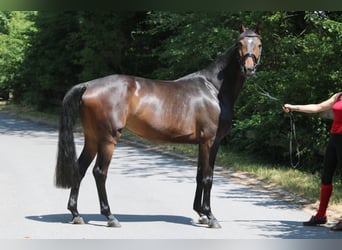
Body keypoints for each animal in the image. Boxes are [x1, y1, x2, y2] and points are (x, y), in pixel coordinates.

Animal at [54, 23, 262, 229]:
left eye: (259, 44)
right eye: (239, 44)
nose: (249, 69)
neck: (213, 89)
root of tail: (88, 85)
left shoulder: (202, 143)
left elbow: (199, 176)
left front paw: (200, 213)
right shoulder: (211, 141)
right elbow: (207, 178)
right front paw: (210, 216)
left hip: (92, 138)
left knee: (80, 169)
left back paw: (76, 213)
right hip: (108, 139)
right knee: (99, 172)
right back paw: (110, 217)